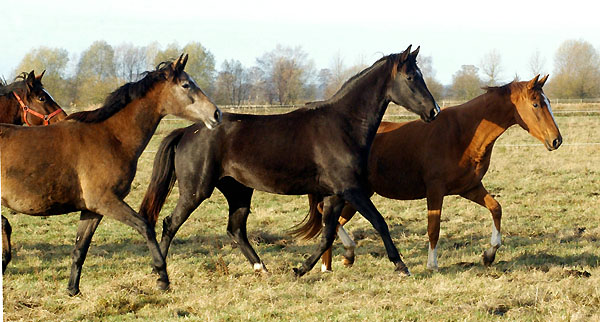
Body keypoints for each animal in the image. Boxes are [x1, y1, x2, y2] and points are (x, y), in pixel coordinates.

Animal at [1, 54, 221, 296]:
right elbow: (145, 227)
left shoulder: (92, 209)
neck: (111, 137)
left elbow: (80, 248)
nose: (216, 113)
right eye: (186, 85)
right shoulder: (106, 201)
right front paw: (162, 277)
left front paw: (72, 290)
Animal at [138, 45, 440, 276]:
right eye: (411, 77)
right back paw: (159, 270)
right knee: (170, 223)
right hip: (196, 190)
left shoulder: (334, 194)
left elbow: (327, 234)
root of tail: (187, 130)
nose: (434, 111)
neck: (343, 125)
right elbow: (379, 222)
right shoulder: (350, 189)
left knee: (235, 230)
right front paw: (401, 266)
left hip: (239, 191)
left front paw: (301, 269)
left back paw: (262, 269)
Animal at [294, 73, 564, 272]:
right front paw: (432, 264)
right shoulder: (435, 191)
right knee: (327, 217)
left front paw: (489, 254)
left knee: (332, 221)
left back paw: (333, 262)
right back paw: (333, 261)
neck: (464, 133)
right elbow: (433, 228)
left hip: (358, 194)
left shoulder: (469, 188)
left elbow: (496, 208)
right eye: (536, 104)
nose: (557, 140)